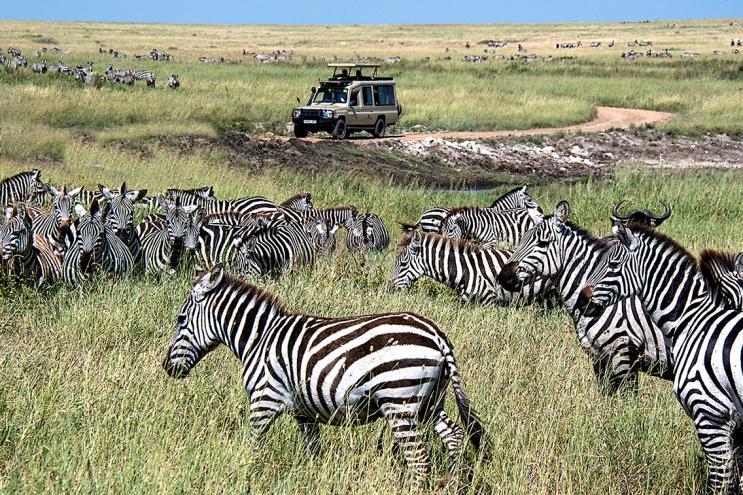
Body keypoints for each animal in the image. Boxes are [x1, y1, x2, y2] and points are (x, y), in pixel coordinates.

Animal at [163, 265, 489, 486]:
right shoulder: (303, 411)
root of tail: (437, 335)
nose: (167, 368)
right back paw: (455, 482)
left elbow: (251, 446)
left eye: (180, 319)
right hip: (429, 402)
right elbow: (313, 453)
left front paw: (242, 473)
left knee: (419, 459)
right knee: (455, 436)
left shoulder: (263, 400)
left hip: (400, 403)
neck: (259, 338)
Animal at [496, 201, 673, 393]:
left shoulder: (624, 354)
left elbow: (627, 397)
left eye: (542, 243)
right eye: (522, 240)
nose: (503, 277)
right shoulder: (598, 357)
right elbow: (606, 396)